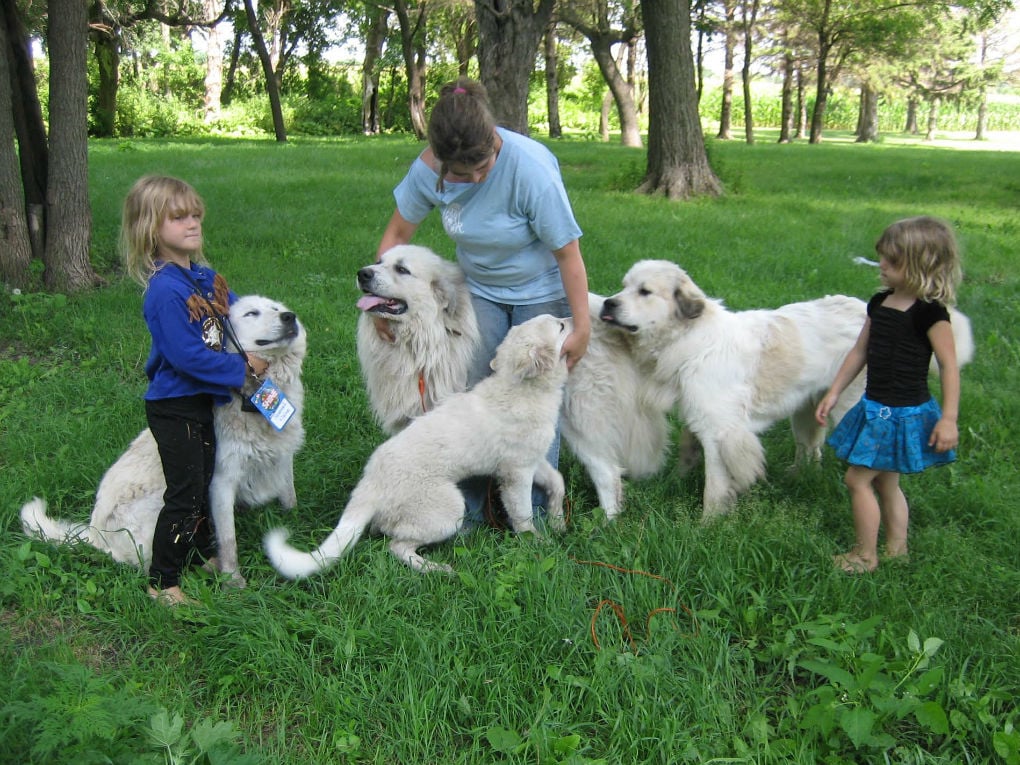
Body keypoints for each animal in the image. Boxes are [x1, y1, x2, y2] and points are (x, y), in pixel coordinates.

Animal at [18, 295, 306, 587]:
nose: (290, 317)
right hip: (167, 504)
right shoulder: (222, 483)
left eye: (276, 309)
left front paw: (296, 526)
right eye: (251, 313)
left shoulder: (283, 457)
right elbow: (228, 540)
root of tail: (93, 535)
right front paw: (233, 580)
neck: (250, 395)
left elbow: (290, 495)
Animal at [263, 314, 575, 579]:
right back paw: (435, 568)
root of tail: (370, 485)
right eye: (560, 326)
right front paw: (537, 543)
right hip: (448, 509)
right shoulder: (515, 473)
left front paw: (558, 520)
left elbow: (557, 482)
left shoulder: (533, 460)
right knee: (397, 547)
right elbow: (522, 513)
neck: (521, 387)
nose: (575, 318)